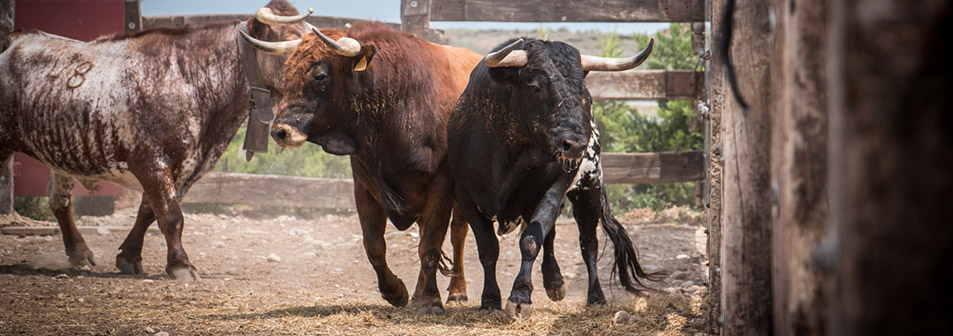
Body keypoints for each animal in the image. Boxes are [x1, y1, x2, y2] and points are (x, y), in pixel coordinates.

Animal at [0, 0, 308, 280]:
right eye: (290, 40)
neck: (191, 79)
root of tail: (16, 39)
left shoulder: (186, 169)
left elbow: (149, 212)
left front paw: (129, 256)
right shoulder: (151, 162)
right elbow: (171, 215)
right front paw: (181, 265)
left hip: (62, 150)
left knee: (59, 199)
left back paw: (79, 251)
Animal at [244, 17, 484, 314]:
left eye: (320, 75)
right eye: (287, 72)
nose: (280, 131)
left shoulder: (440, 186)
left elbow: (430, 246)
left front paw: (430, 301)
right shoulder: (365, 188)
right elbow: (375, 246)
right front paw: (396, 292)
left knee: (457, 234)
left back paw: (457, 291)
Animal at [448, 38, 660, 316]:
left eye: (581, 91)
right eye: (535, 86)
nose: (576, 144)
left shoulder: (554, 188)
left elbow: (531, 240)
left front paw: (520, 297)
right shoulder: (465, 195)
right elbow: (488, 248)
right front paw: (490, 300)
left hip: (588, 188)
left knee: (587, 244)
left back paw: (594, 296)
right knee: (551, 235)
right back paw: (554, 281)